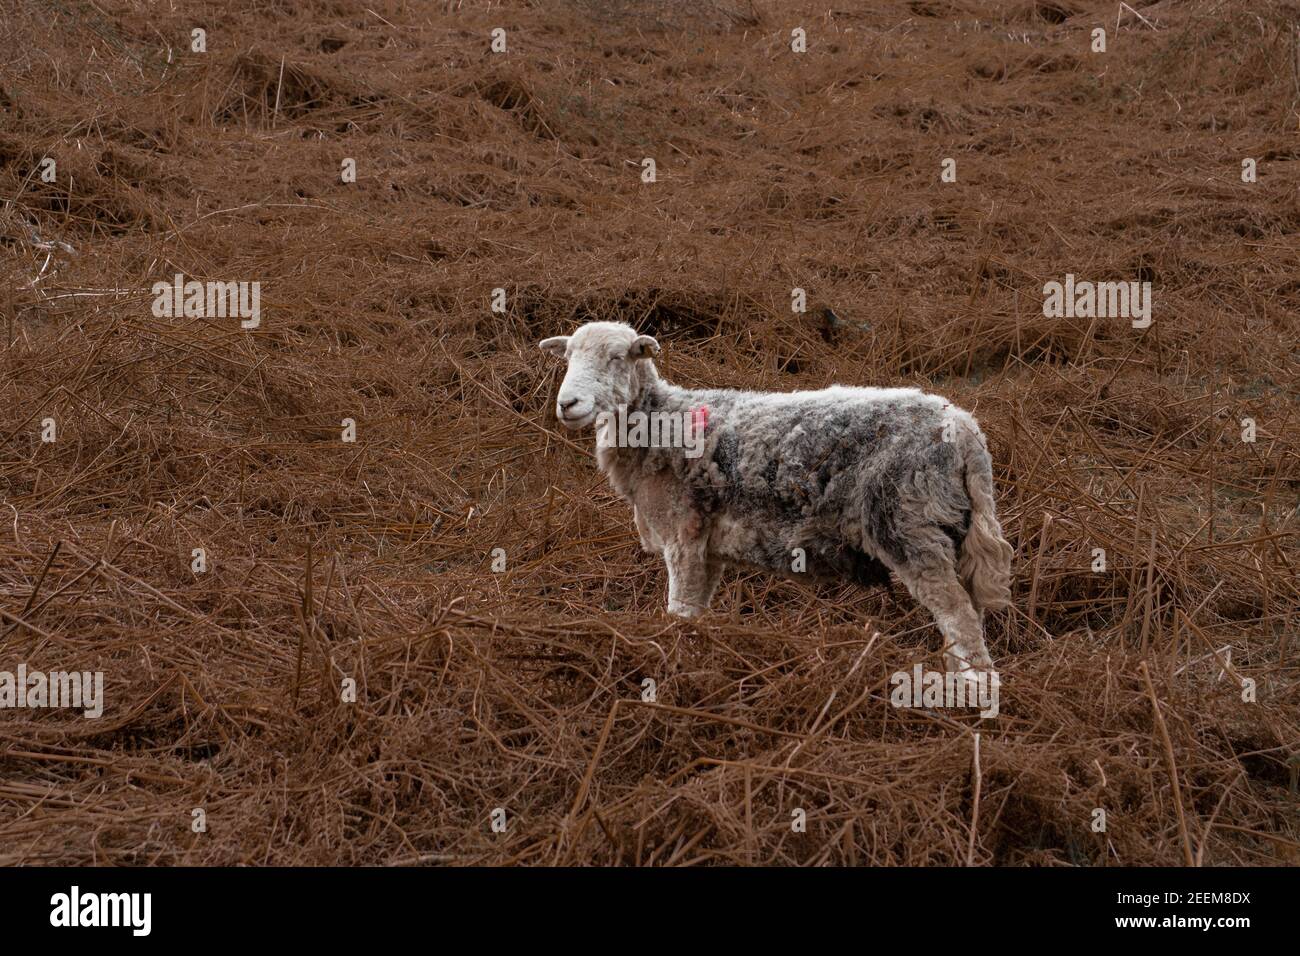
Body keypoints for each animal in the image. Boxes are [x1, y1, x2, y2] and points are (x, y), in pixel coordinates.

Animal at [538, 320, 1014, 679]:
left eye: (617, 357)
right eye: (568, 358)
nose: (568, 403)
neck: (659, 425)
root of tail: (966, 430)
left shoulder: (683, 534)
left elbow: (679, 610)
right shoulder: (706, 546)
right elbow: (696, 611)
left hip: (909, 521)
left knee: (958, 615)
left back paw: (972, 689)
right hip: (951, 524)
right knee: (967, 613)